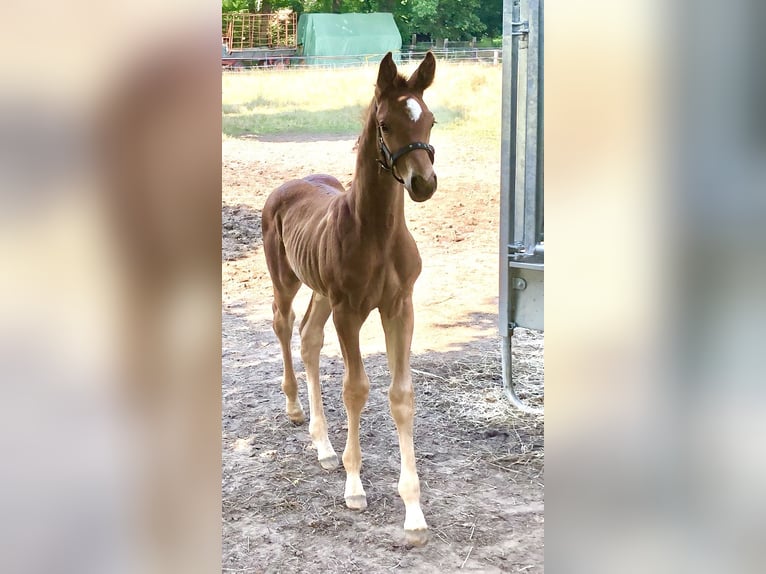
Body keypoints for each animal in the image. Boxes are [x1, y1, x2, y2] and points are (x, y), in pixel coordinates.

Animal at [262, 51, 438, 548]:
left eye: (430, 120)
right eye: (384, 123)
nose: (424, 183)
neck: (376, 234)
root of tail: (286, 186)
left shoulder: (399, 307)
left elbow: (401, 394)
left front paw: (414, 513)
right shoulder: (350, 312)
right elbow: (355, 389)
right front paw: (355, 485)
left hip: (322, 293)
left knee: (308, 339)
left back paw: (323, 446)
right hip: (288, 280)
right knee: (284, 326)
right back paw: (295, 410)